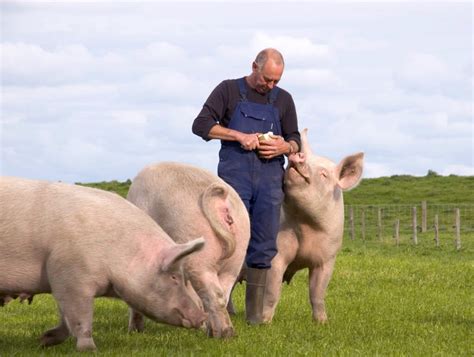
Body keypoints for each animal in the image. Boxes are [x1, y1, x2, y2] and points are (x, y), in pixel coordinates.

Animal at [0, 177, 207, 350]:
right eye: (174, 277)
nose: (202, 317)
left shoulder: (62, 281)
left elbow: (65, 320)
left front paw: (43, 341)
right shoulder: (70, 276)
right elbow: (80, 318)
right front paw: (90, 350)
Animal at [126, 163, 252, 338]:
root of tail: (219, 200)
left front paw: (134, 331)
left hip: (197, 249)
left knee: (214, 294)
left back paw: (221, 335)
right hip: (237, 253)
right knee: (223, 295)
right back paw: (218, 333)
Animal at [254, 129, 364, 322]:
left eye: (324, 174)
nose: (299, 155)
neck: (306, 225)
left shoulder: (327, 259)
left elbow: (317, 293)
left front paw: (322, 322)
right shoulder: (278, 255)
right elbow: (272, 291)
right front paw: (265, 321)